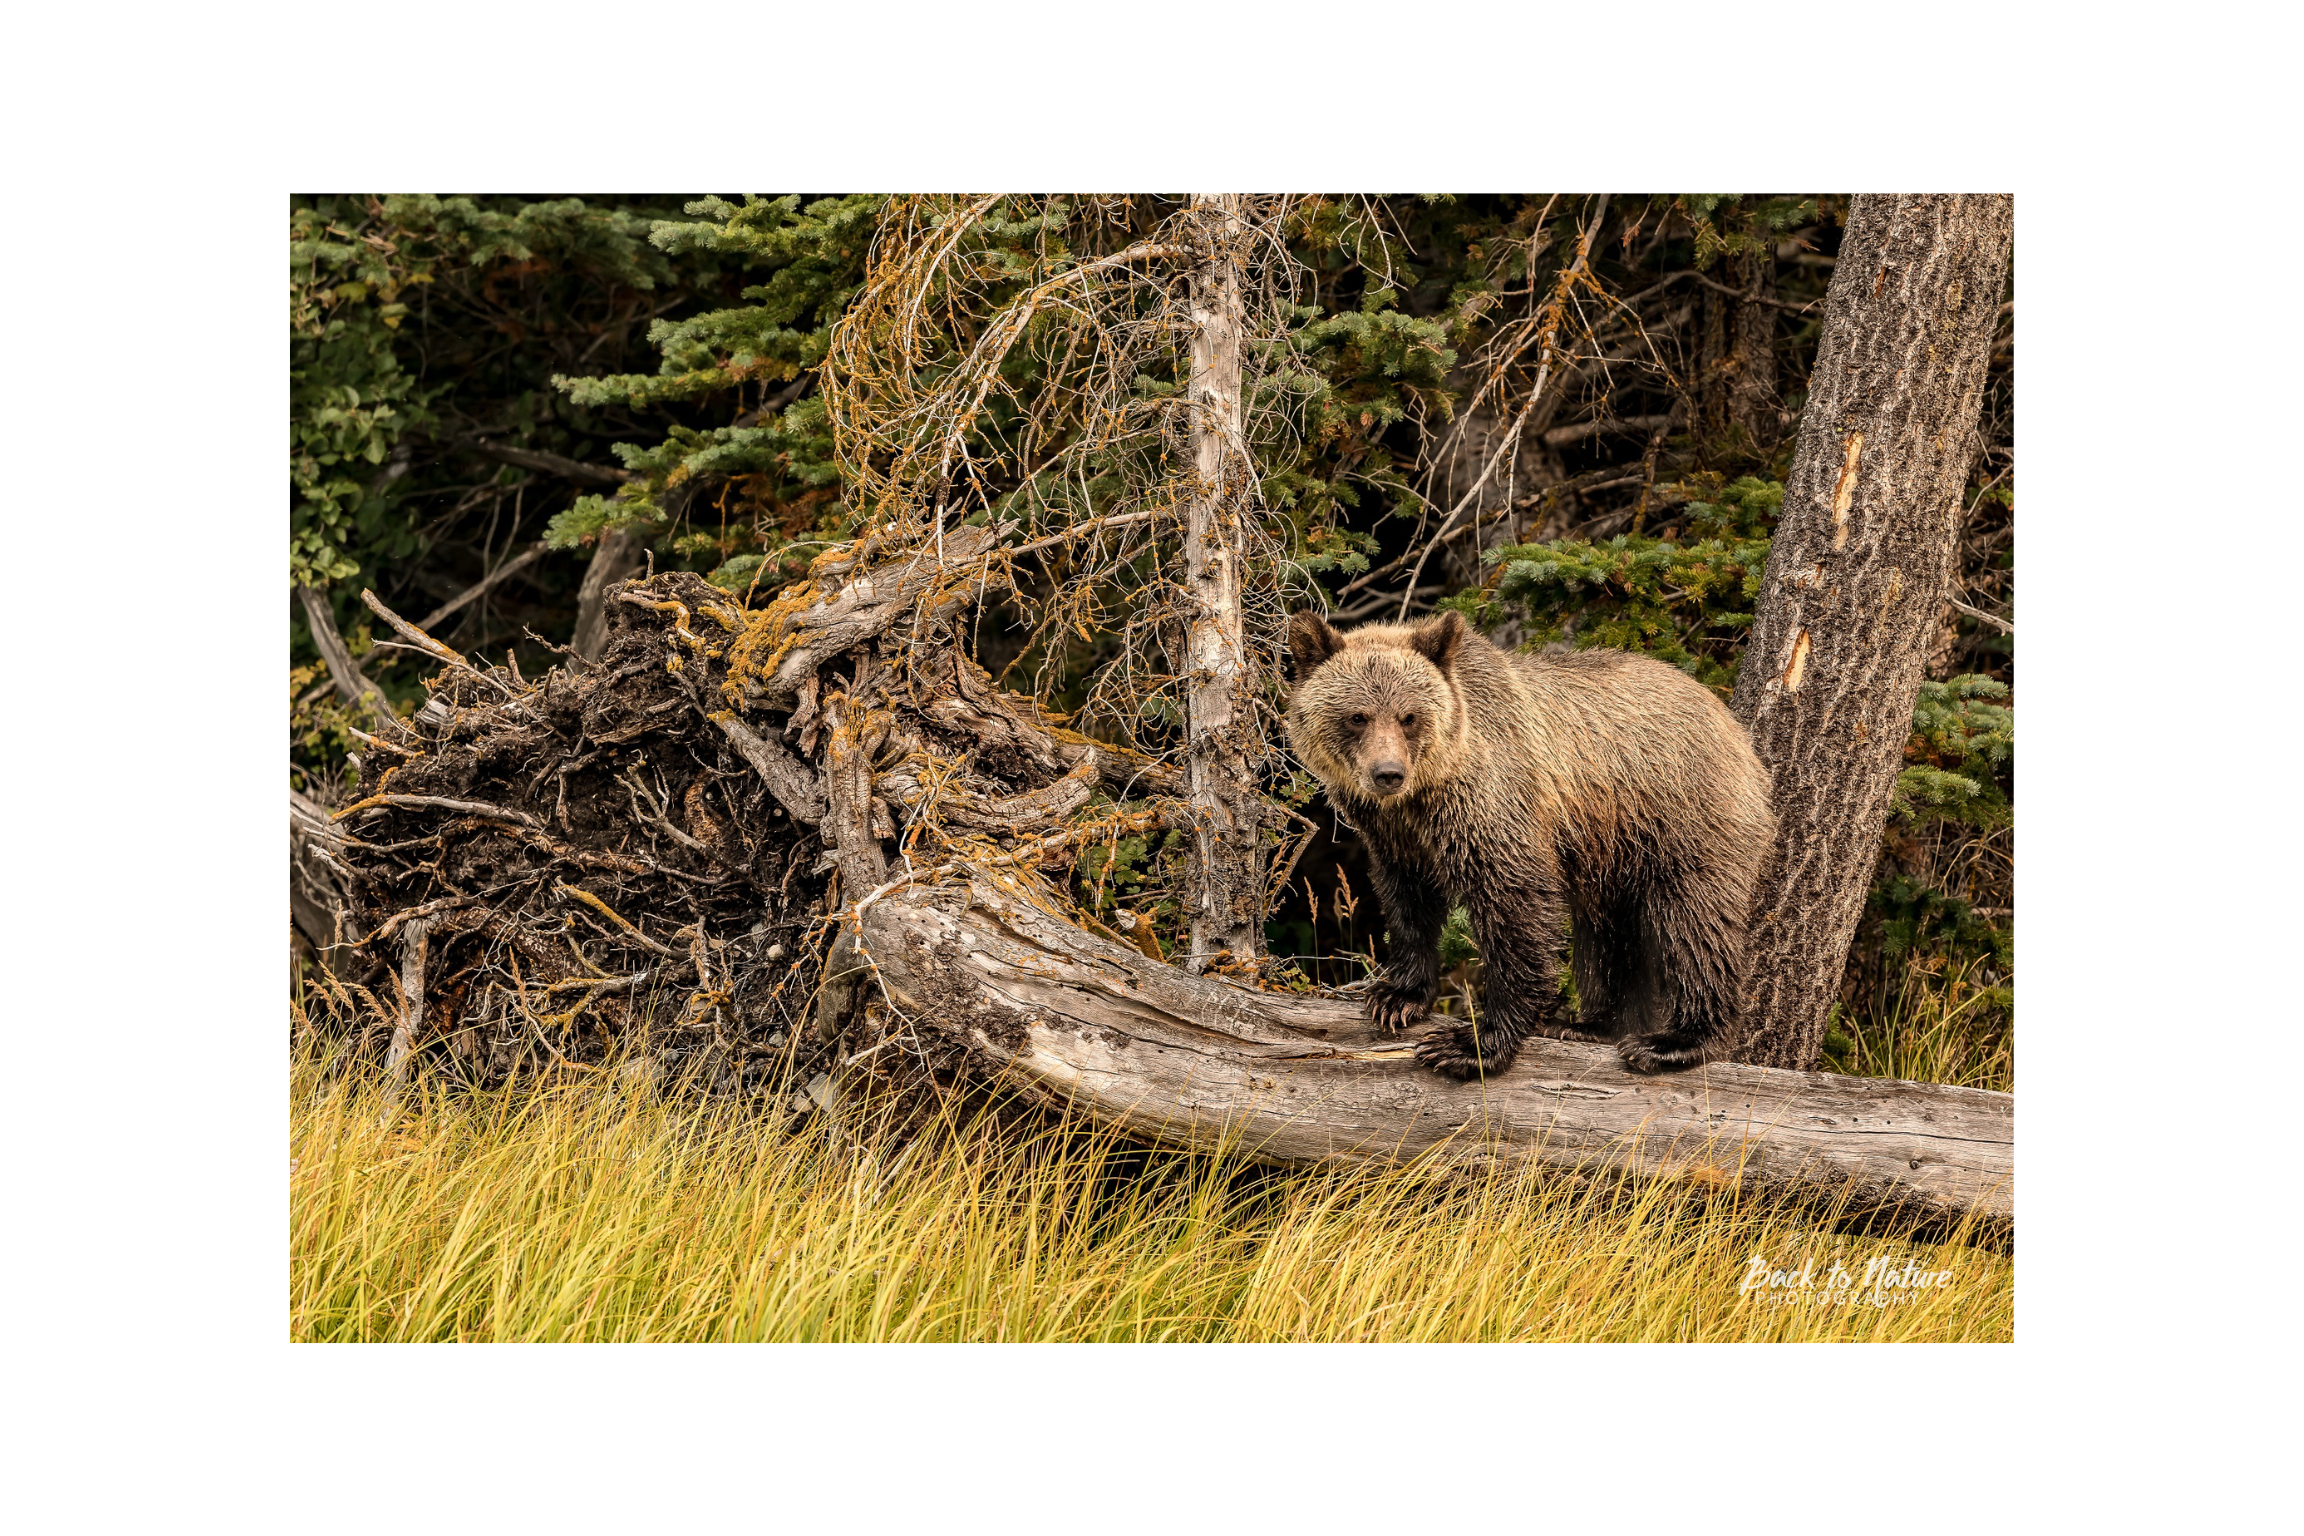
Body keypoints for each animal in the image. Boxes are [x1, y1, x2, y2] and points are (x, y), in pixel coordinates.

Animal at [1290, 607, 1769, 1077]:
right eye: (1358, 716)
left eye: (1409, 716)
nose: (1388, 773)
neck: (1426, 793)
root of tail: (1730, 722)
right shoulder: (1395, 837)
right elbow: (1407, 903)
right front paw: (1397, 998)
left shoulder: (1492, 802)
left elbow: (1514, 903)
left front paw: (1471, 1044)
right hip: (1613, 850)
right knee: (1609, 935)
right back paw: (1590, 1026)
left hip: (1683, 817)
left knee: (1695, 921)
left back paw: (1672, 1041)